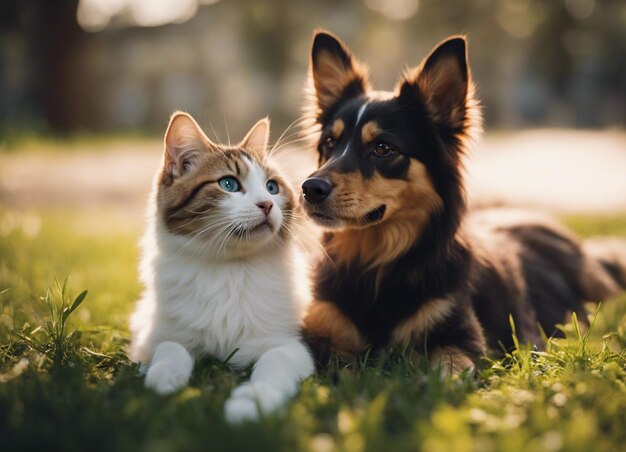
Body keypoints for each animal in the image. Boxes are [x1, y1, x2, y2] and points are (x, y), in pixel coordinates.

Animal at [128, 111, 312, 422]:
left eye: (272, 187)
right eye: (228, 184)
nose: (267, 204)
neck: (230, 268)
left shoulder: (290, 345)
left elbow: (273, 363)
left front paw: (253, 401)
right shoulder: (158, 336)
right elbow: (170, 348)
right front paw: (163, 379)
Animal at [298, 30, 624, 374]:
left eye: (383, 148)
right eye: (329, 144)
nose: (310, 188)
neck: (376, 265)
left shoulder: (461, 338)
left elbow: (447, 370)